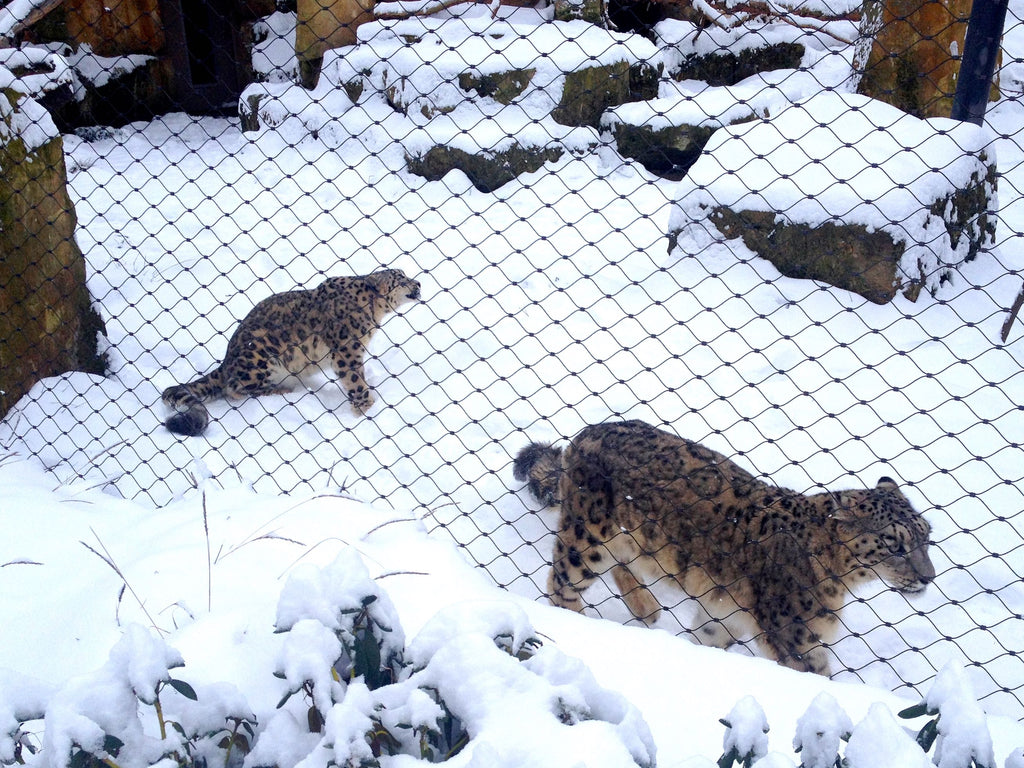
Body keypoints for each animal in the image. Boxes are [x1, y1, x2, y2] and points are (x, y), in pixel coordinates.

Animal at [161, 268, 417, 436]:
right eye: (402, 279)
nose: (418, 284)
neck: (374, 313)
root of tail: (226, 362)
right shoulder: (347, 351)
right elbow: (355, 381)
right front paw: (366, 409)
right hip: (261, 357)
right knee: (235, 389)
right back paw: (281, 389)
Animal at [512, 417, 937, 675]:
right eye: (895, 545)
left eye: (927, 536)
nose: (928, 578)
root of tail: (584, 435)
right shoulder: (798, 640)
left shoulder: (722, 618)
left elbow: (708, 640)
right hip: (587, 540)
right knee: (562, 583)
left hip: (638, 542)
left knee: (623, 564)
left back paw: (648, 610)